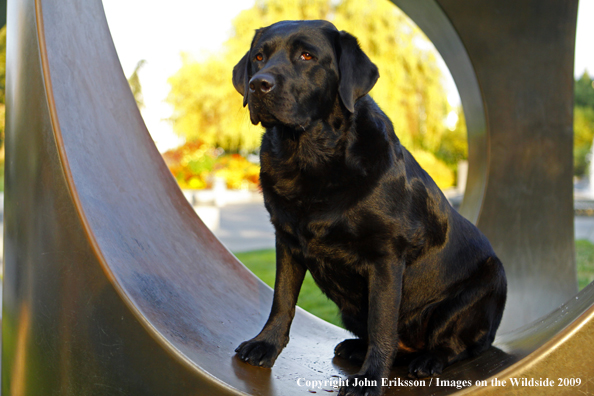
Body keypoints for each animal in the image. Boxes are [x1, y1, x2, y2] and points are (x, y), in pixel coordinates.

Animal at [231, 20, 504, 394]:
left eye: (307, 56)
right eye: (259, 57)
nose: (258, 84)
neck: (310, 158)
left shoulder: (386, 256)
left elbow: (381, 323)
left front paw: (370, 378)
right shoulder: (285, 239)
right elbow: (282, 300)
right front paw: (265, 344)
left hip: (488, 280)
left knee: (463, 345)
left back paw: (428, 360)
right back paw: (355, 348)